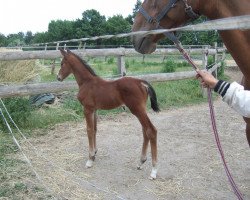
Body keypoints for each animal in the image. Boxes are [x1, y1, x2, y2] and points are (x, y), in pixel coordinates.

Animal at [57, 47, 160, 179]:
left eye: (62, 63)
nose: (58, 77)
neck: (87, 82)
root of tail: (141, 82)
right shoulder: (94, 110)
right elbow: (94, 130)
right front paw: (95, 153)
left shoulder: (87, 109)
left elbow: (89, 130)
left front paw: (90, 159)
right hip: (140, 110)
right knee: (145, 131)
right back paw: (141, 162)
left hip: (137, 109)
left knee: (151, 130)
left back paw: (154, 170)